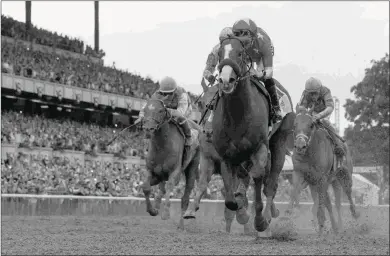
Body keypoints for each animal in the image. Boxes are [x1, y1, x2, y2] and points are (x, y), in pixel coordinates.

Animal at [140, 99, 201, 229]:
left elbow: (170, 187)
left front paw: (166, 214)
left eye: (160, 110)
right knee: (162, 189)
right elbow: (145, 187)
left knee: (185, 198)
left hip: (193, 167)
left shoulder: (175, 172)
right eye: (145, 109)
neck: (162, 146)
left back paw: (181, 225)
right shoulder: (153, 171)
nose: (148, 129)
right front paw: (152, 210)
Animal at [182, 82, 253, 234]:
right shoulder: (207, 159)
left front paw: (241, 212)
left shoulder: (231, 164)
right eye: (201, 103)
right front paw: (191, 210)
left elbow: (233, 189)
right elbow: (203, 185)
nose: (208, 132)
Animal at [212, 37, 294, 233]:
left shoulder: (260, 148)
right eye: (219, 54)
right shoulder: (226, 156)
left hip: (279, 143)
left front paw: (260, 220)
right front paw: (241, 211)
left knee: (270, 183)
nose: (226, 80)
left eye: (240, 53)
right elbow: (230, 198)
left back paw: (269, 214)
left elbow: (258, 176)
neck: (238, 113)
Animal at [290, 106, 360, 234]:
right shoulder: (299, 173)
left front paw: (321, 226)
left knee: (343, 197)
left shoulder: (322, 178)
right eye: (294, 125)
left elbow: (321, 205)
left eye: (311, 125)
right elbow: (293, 192)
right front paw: (286, 217)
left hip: (343, 176)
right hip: (326, 183)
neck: (310, 153)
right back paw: (335, 227)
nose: (300, 146)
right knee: (331, 204)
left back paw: (350, 217)